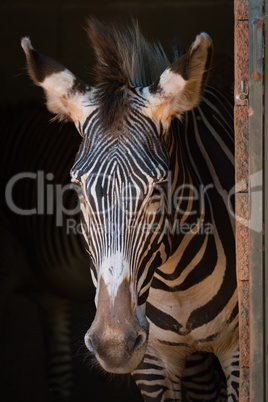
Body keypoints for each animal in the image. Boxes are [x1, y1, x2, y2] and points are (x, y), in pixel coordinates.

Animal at [21, 17, 238, 400]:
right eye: (77, 190)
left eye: (157, 188)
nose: (113, 345)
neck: (176, 280)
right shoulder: (152, 362)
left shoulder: (240, 348)